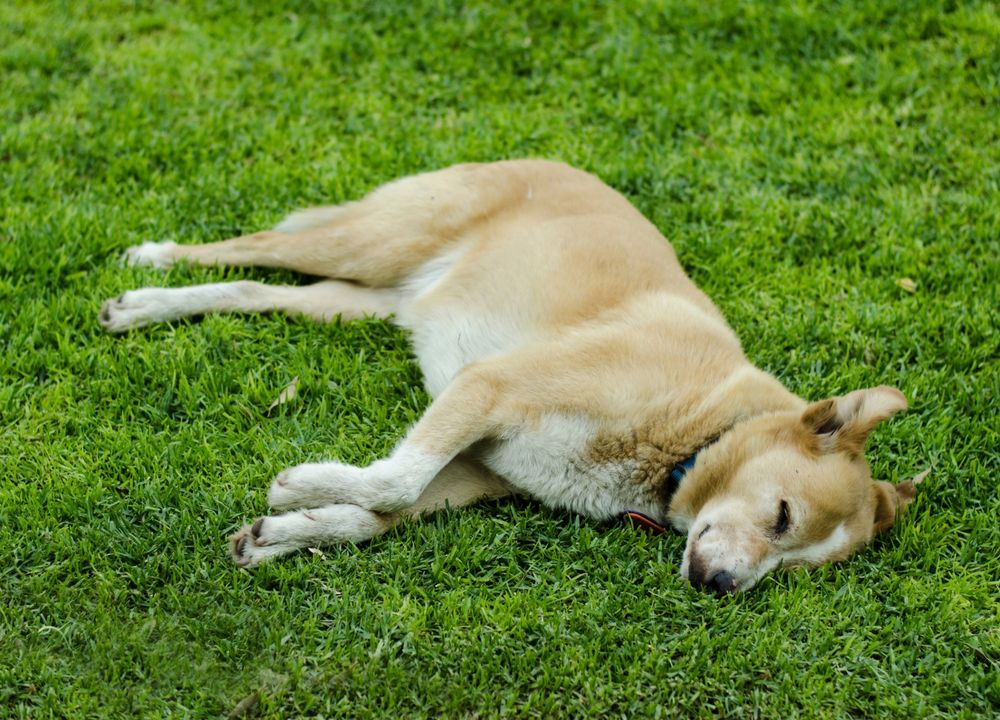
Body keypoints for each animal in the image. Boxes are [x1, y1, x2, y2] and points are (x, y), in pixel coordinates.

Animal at [101, 160, 920, 592]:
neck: (693, 433)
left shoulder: (479, 470)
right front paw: (301, 483)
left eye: (794, 568)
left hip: (355, 303)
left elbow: (382, 512)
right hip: (369, 243)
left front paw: (282, 534)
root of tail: (549, 161)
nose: (719, 588)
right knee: (252, 244)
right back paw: (150, 263)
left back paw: (146, 307)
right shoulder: (489, 388)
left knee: (252, 289)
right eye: (781, 516)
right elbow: (391, 481)